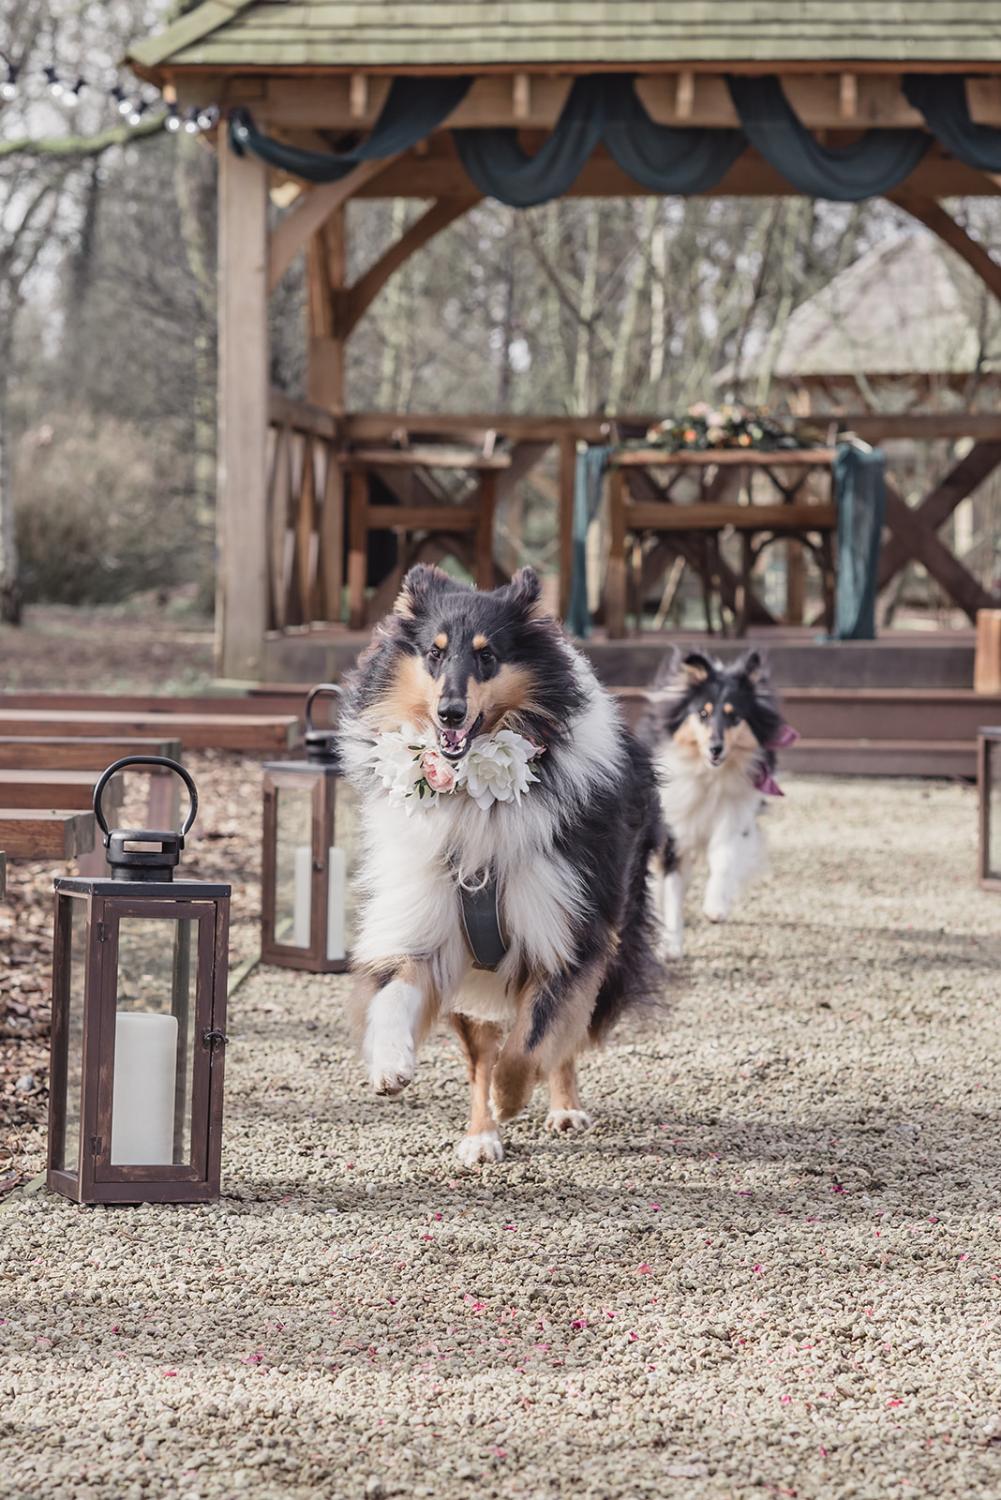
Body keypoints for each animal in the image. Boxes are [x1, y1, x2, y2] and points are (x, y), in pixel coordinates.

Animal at [336, 564, 666, 1158]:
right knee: (480, 1054)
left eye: (488, 655)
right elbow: (398, 997)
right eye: (434, 652)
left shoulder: (567, 932)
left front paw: (514, 1096)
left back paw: (561, 1109)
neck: (473, 799)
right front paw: (390, 1065)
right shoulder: (428, 925)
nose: (449, 714)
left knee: (558, 1040)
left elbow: (533, 1040)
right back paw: (481, 1135)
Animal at [642, 648, 798, 960]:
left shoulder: (735, 817)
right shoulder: (675, 830)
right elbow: (673, 886)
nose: (716, 748)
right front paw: (671, 944)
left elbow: (724, 859)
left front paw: (715, 906)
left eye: (734, 716)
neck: (709, 776)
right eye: (702, 714)